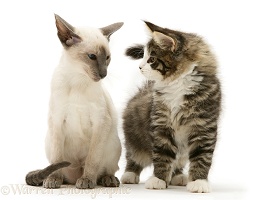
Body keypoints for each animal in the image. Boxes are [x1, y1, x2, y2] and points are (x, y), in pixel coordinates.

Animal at [25, 14, 123, 189]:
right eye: (92, 57)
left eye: (107, 58)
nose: (104, 74)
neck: (78, 79)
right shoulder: (57, 120)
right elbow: (57, 158)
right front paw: (53, 180)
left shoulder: (100, 122)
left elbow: (92, 159)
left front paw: (87, 180)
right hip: (49, 140)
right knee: (58, 169)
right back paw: (57, 179)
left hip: (114, 144)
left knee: (106, 169)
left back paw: (106, 179)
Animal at [119, 21, 219, 193]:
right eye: (143, 56)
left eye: (151, 59)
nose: (140, 67)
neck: (177, 84)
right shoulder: (161, 125)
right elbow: (162, 154)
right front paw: (158, 179)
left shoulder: (204, 127)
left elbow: (202, 156)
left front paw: (199, 181)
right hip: (133, 136)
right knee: (133, 155)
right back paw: (129, 174)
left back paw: (178, 176)